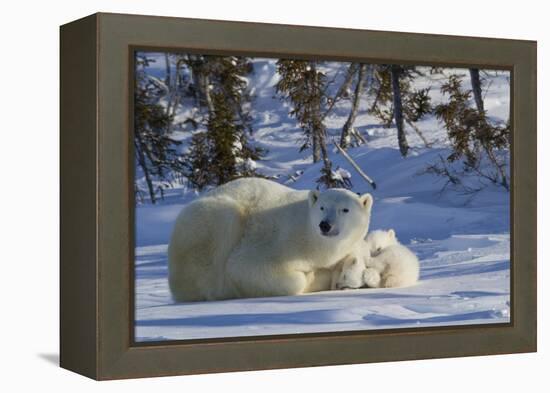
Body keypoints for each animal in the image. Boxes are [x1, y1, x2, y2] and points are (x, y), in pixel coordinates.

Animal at [169, 177, 376, 300]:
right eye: (322, 207)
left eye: (345, 209)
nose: (325, 225)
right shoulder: (280, 241)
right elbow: (244, 268)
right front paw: (314, 276)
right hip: (211, 223)